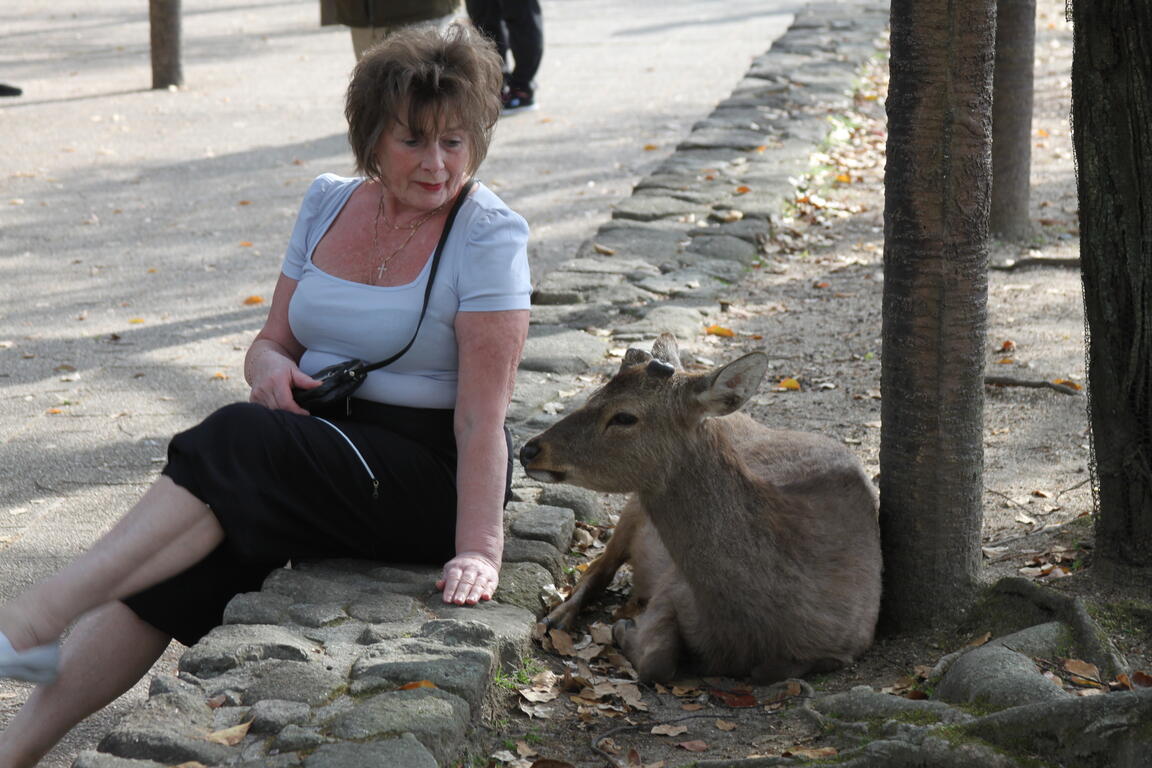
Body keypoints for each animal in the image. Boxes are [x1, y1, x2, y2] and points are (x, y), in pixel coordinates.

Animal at [523, 336, 880, 686]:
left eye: (624, 416)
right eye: (593, 395)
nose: (529, 449)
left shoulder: (849, 642)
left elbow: (771, 671)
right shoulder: (671, 585)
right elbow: (657, 662)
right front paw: (625, 628)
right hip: (632, 510)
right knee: (600, 566)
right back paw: (557, 617)